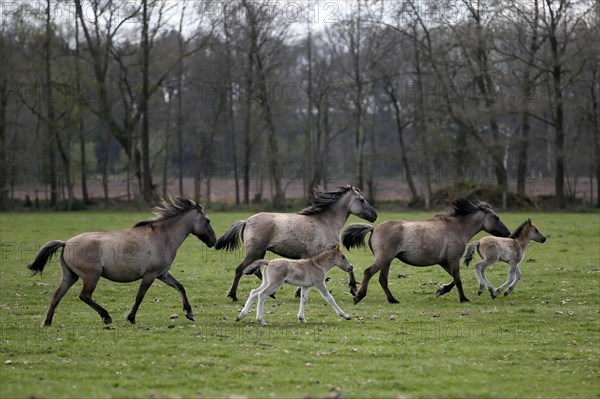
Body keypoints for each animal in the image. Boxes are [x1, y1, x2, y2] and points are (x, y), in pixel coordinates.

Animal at [28, 195, 217, 326]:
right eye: (208, 220)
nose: (214, 241)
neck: (162, 237)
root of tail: (66, 243)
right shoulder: (150, 275)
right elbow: (139, 297)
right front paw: (131, 318)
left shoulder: (162, 274)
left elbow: (180, 287)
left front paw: (189, 312)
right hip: (91, 276)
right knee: (84, 296)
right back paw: (106, 316)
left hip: (70, 276)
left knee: (56, 297)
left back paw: (47, 323)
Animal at [214, 186, 376, 302]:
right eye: (362, 200)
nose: (374, 215)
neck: (325, 222)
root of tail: (246, 221)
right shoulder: (329, 252)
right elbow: (348, 267)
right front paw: (354, 289)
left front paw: (298, 292)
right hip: (254, 252)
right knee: (240, 270)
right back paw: (233, 295)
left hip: (260, 252)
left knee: (255, 270)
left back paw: (272, 294)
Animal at [344, 200, 508, 306]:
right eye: (496, 217)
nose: (507, 233)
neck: (456, 228)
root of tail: (374, 228)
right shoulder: (453, 259)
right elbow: (458, 280)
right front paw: (463, 299)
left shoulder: (444, 262)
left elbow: (454, 279)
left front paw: (442, 290)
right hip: (384, 259)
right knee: (368, 272)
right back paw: (358, 296)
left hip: (387, 261)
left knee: (382, 280)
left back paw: (393, 300)